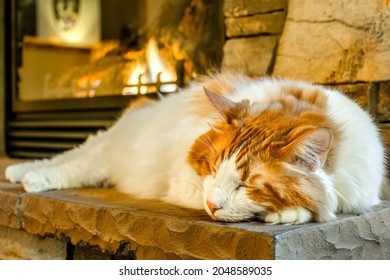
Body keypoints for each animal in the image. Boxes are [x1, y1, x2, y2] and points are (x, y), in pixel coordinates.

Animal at [4, 73, 386, 224]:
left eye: (247, 184)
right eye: (214, 168)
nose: (212, 205)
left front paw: (290, 212)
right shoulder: (184, 181)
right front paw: (293, 211)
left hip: (107, 161)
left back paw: (23, 173)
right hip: (109, 152)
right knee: (70, 159)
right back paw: (26, 174)